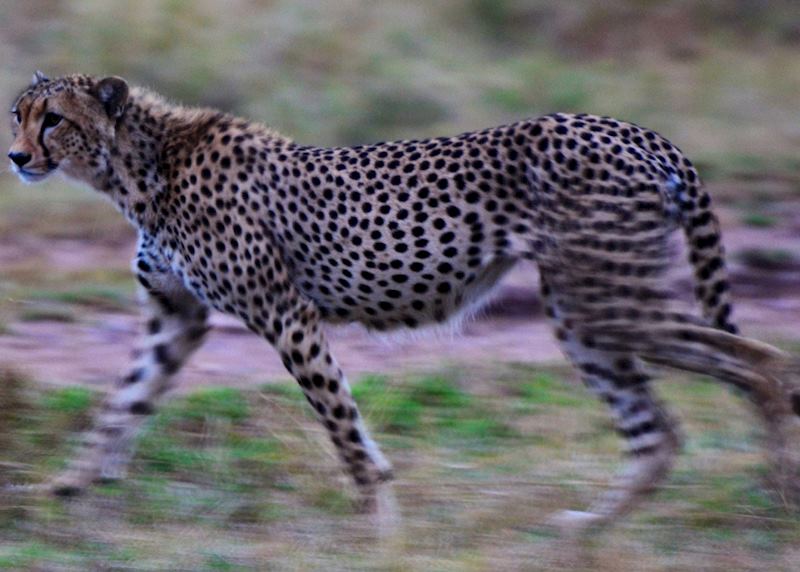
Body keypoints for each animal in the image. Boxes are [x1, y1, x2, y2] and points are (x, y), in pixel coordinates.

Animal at [8, 72, 800, 532]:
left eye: (53, 119)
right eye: (17, 113)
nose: (15, 156)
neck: (138, 168)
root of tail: (635, 130)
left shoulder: (286, 317)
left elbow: (342, 427)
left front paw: (379, 524)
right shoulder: (177, 318)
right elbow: (120, 404)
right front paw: (64, 492)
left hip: (606, 297)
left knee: (762, 361)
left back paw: (774, 495)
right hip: (582, 311)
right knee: (658, 432)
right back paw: (584, 531)